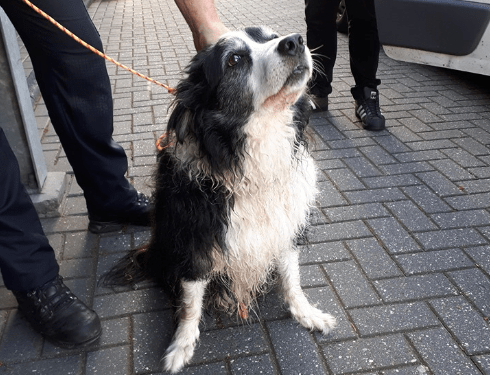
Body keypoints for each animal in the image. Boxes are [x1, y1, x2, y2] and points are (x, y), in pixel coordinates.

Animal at [105, 25, 334, 374]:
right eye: (234, 60)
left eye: (271, 36)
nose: (295, 41)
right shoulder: (195, 239)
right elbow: (190, 301)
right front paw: (181, 347)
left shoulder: (285, 224)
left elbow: (291, 278)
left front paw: (306, 313)